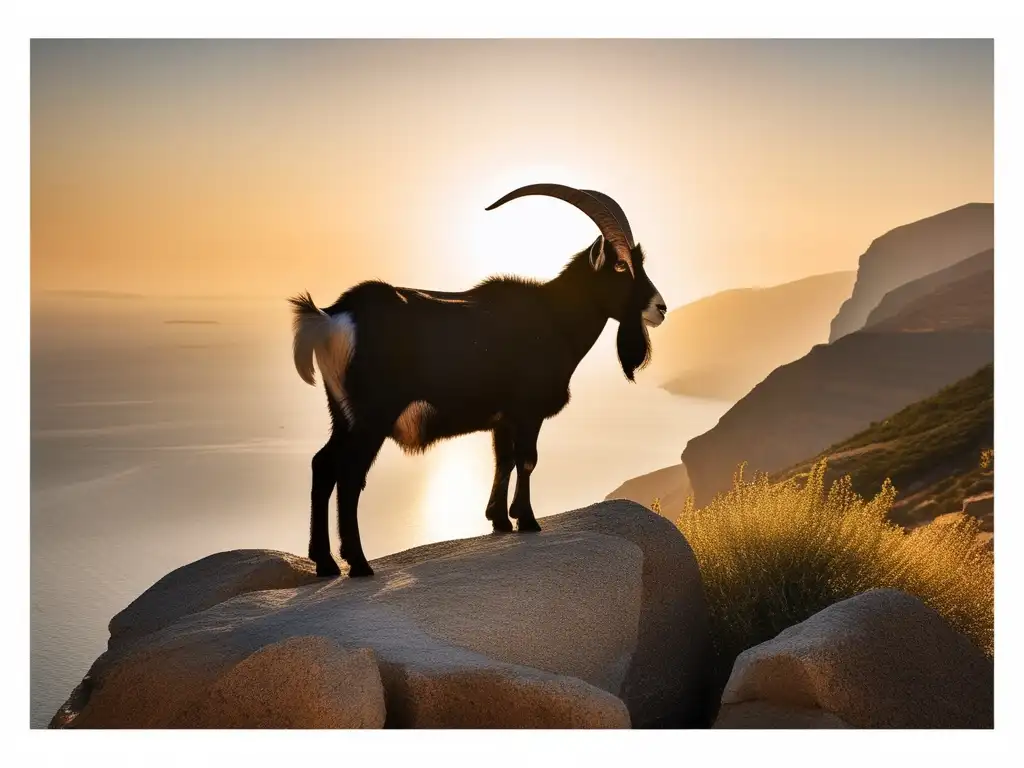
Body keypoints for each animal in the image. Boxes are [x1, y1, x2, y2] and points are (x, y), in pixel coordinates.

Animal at [292, 183, 667, 577]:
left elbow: (503, 459)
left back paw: (325, 563)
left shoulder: (503, 419)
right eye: (620, 265)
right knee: (350, 475)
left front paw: (500, 520)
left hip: (342, 413)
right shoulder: (527, 411)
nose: (660, 308)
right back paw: (359, 564)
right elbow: (527, 459)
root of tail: (331, 317)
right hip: (372, 416)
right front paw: (527, 520)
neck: (554, 316)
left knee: (323, 465)